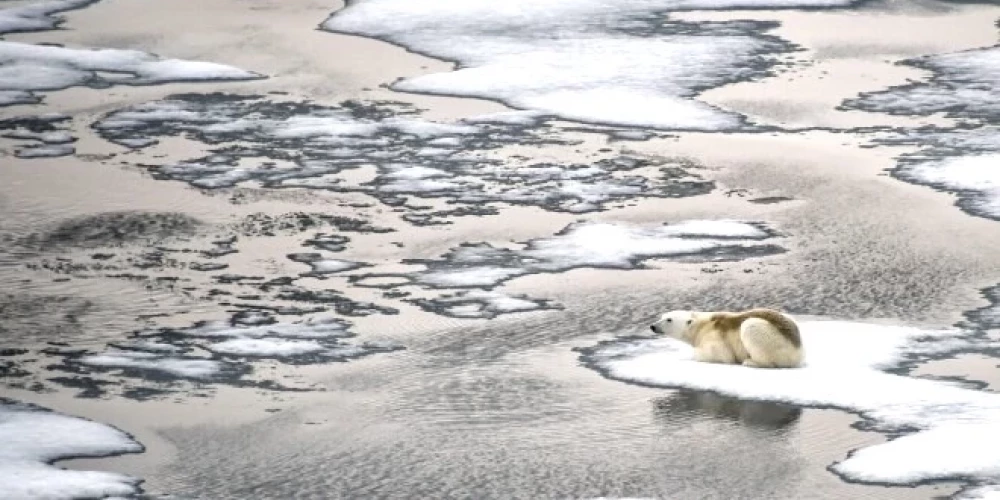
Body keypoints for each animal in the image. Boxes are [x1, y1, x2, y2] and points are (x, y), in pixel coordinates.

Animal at [648, 306, 804, 370]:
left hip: (773, 339)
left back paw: (750, 362)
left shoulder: (714, 337)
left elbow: (719, 354)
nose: (652, 326)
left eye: (669, 319)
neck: (701, 325)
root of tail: (799, 349)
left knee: (750, 326)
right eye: (662, 316)